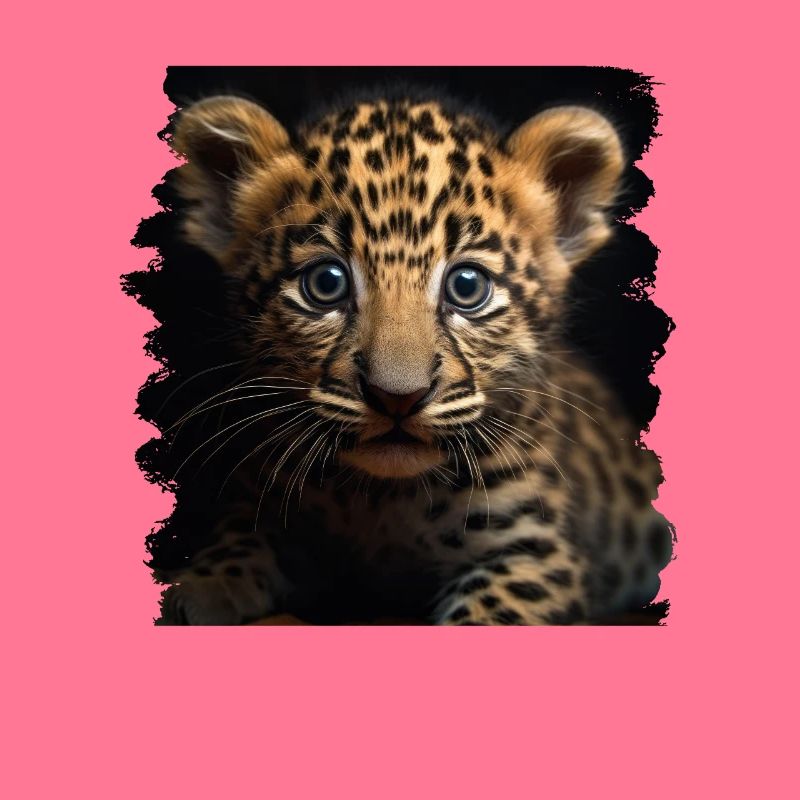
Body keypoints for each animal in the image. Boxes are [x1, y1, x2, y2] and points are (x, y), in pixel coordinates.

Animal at [154, 89, 673, 625]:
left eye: (467, 287)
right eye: (326, 283)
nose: (397, 398)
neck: (382, 499)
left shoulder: (536, 551)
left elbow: (486, 615)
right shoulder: (267, 505)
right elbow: (238, 541)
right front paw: (200, 588)